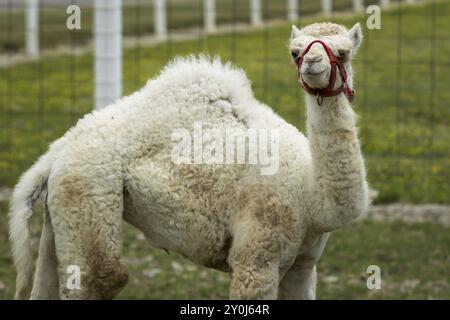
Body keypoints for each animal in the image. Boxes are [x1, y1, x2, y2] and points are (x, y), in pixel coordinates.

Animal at [8, 22, 368, 300]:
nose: (313, 63)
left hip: (61, 209)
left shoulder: (304, 265)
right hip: (89, 190)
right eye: (295, 52)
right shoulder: (256, 256)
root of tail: (57, 150)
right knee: (101, 277)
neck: (313, 197)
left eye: (343, 52)